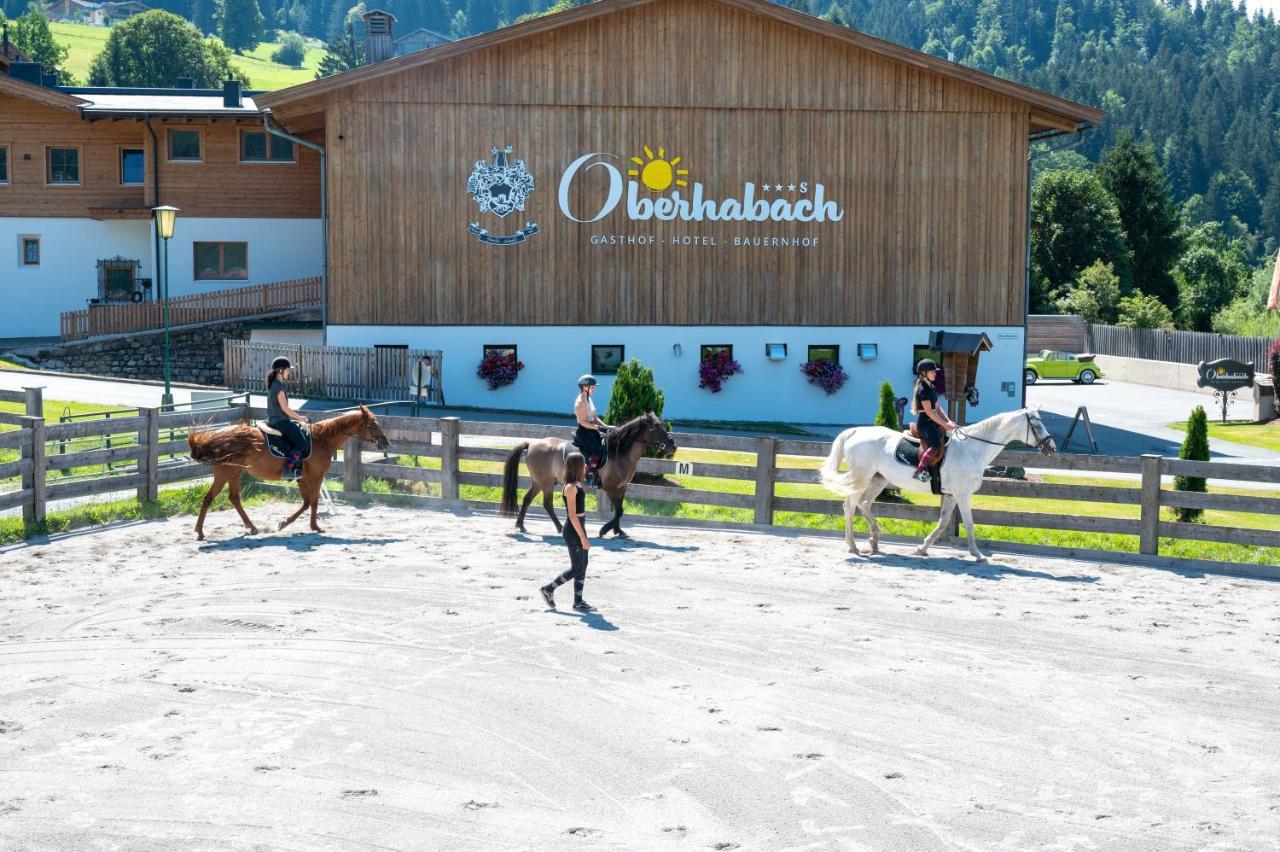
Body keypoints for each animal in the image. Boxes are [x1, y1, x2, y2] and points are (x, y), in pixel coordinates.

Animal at [184, 404, 384, 537]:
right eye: (372, 424)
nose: (386, 442)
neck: (321, 439)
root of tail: (219, 436)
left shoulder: (302, 478)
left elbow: (306, 503)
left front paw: (285, 523)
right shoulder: (316, 477)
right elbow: (313, 502)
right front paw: (315, 527)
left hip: (234, 473)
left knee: (234, 498)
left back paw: (252, 527)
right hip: (224, 473)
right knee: (209, 498)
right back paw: (200, 532)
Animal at [499, 411, 680, 537]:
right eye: (656, 427)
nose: (673, 446)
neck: (619, 452)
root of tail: (532, 444)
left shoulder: (622, 488)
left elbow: (619, 509)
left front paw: (618, 531)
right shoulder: (610, 487)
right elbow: (619, 510)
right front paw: (604, 530)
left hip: (539, 482)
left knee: (527, 499)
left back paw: (521, 525)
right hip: (546, 483)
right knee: (547, 504)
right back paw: (558, 527)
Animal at [819, 409, 1059, 560]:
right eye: (1037, 424)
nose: (1052, 448)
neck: (972, 449)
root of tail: (856, 431)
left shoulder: (951, 495)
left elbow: (943, 523)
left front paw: (922, 548)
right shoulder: (963, 494)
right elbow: (969, 524)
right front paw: (978, 554)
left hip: (879, 480)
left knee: (864, 504)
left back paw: (875, 540)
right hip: (862, 477)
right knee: (850, 507)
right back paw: (853, 546)